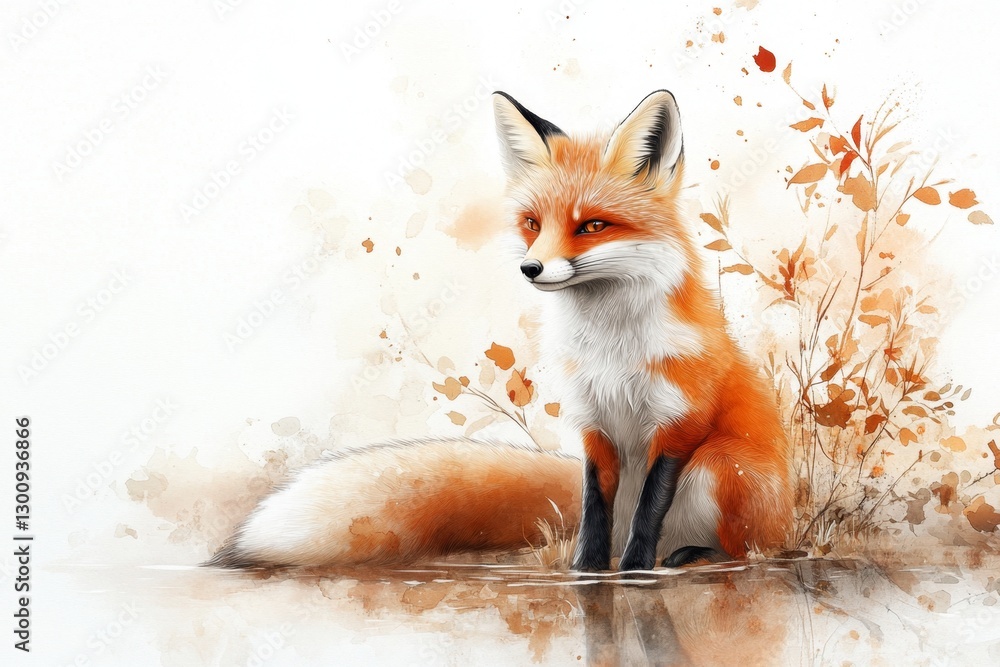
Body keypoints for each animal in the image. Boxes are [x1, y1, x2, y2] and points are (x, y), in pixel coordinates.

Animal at [208, 89, 793, 571]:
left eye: (592, 225)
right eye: (533, 223)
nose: (531, 268)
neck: (609, 348)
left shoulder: (678, 422)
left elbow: (649, 509)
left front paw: (632, 572)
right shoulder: (593, 423)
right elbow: (594, 510)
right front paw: (587, 572)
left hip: (721, 466)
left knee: (749, 548)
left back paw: (693, 554)